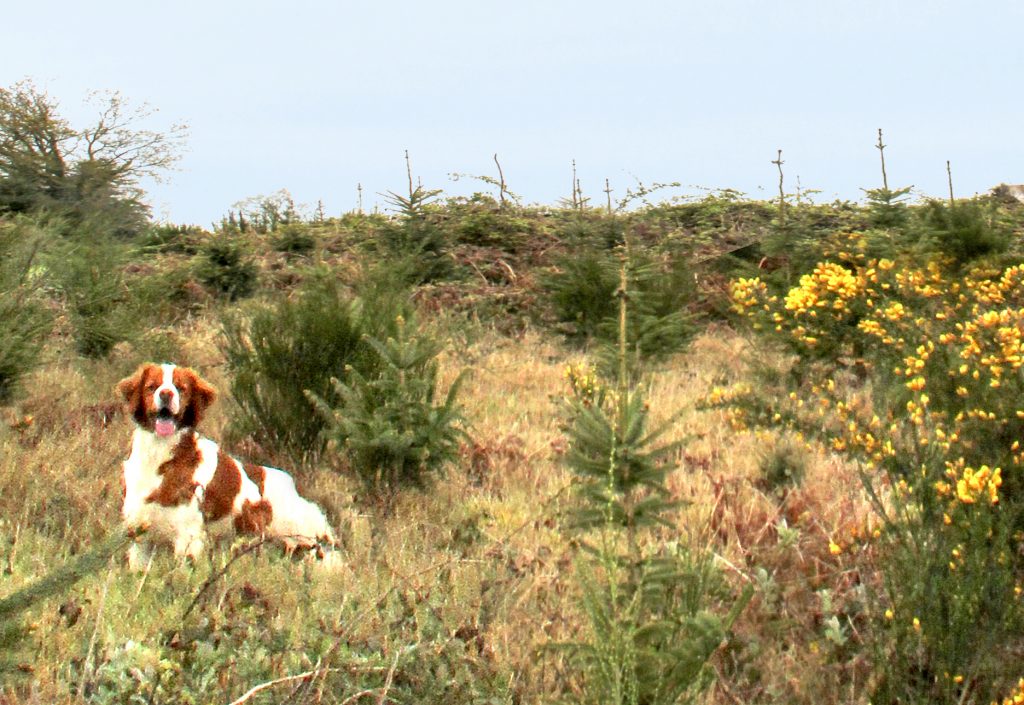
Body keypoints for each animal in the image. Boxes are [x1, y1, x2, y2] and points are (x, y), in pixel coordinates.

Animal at [116, 360, 333, 569]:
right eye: (152, 386)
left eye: (181, 388)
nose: (166, 394)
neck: (158, 457)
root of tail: (293, 489)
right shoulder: (140, 540)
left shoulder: (188, 538)